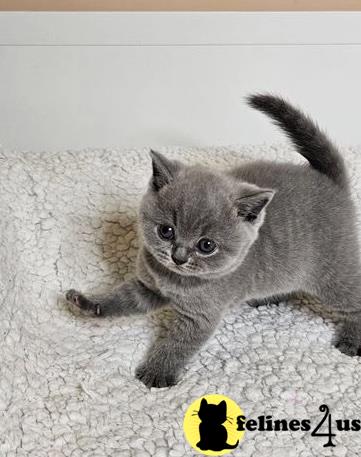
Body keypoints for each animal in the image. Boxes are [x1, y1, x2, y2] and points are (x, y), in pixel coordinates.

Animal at [66, 94, 360, 386]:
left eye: (206, 245)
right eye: (166, 231)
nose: (178, 256)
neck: (172, 279)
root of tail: (331, 184)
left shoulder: (200, 316)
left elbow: (178, 344)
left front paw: (157, 371)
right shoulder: (147, 286)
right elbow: (121, 299)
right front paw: (89, 303)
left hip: (331, 274)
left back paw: (352, 340)